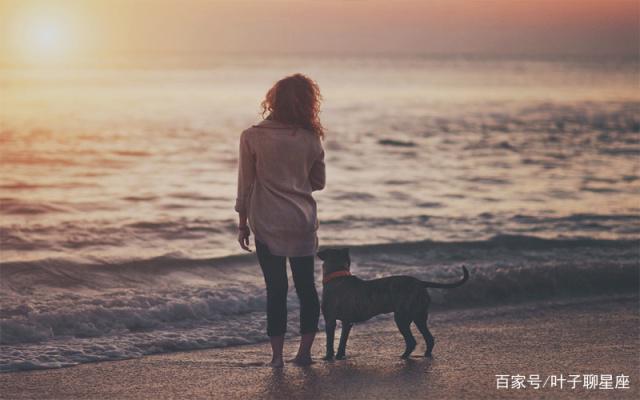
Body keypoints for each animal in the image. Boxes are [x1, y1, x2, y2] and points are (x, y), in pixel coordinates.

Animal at [318, 247, 468, 360]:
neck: (337, 276)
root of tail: (420, 282)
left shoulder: (331, 320)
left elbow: (331, 342)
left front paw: (329, 357)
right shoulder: (347, 322)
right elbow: (343, 341)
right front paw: (340, 356)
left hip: (402, 318)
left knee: (411, 341)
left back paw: (404, 356)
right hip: (419, 316)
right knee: (429, 338)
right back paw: (425, 354)